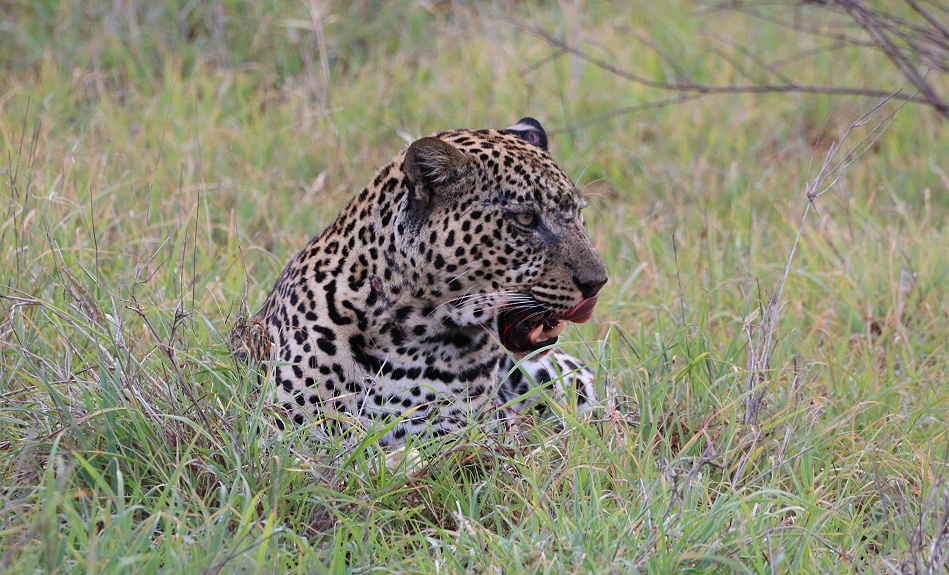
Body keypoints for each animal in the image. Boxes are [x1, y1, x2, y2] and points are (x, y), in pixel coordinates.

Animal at [230, 117, 608, 447]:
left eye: (579, 214)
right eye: (526, 219)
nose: (598, 282)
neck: (405, 333)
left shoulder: (449, 433)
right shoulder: (284, 432)